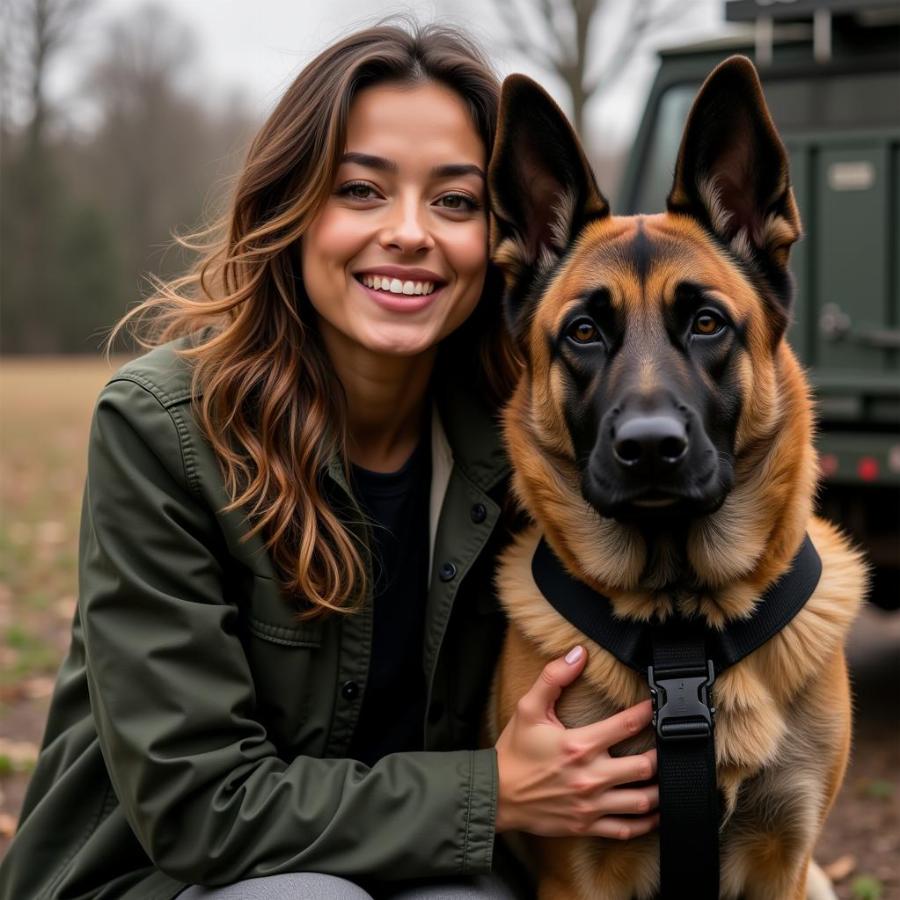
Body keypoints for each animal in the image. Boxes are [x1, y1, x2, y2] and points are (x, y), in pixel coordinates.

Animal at [486, 58, 864, 900]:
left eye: (707, 323)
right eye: (583, 333)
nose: (651, 448)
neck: (683, 623)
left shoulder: (785, 862)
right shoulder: (580, 872)